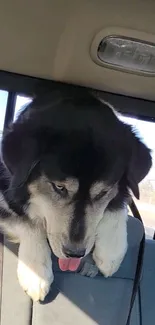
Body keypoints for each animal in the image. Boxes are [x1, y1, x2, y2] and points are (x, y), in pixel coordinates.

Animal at [0, 85, 151, 300]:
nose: (75, 253)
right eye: (59, 187)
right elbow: (27, 222)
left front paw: (110, 251)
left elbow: (118, 204)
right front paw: (36, 271)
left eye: (103, 192)